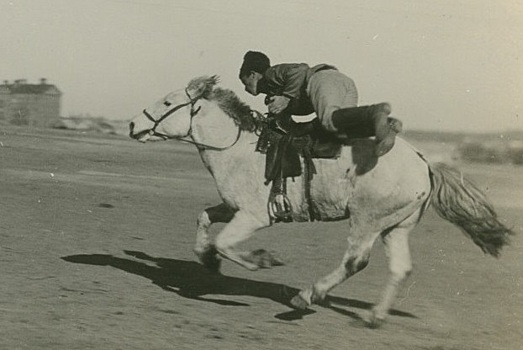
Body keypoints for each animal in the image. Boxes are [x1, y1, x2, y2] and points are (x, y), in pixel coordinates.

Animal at [129, 75, 512, 326]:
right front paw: (207, 260)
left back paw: (305, 297)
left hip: (367, 220)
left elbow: (225, 242)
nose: (132, 125)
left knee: (355, 261)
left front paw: (262, 260)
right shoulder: (232, 208)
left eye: (167, 103)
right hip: (396, 227)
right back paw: (373, 316)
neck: (238, 147)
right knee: (400, 268)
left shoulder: (254, 216)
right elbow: (204, 218)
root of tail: (424, 163)